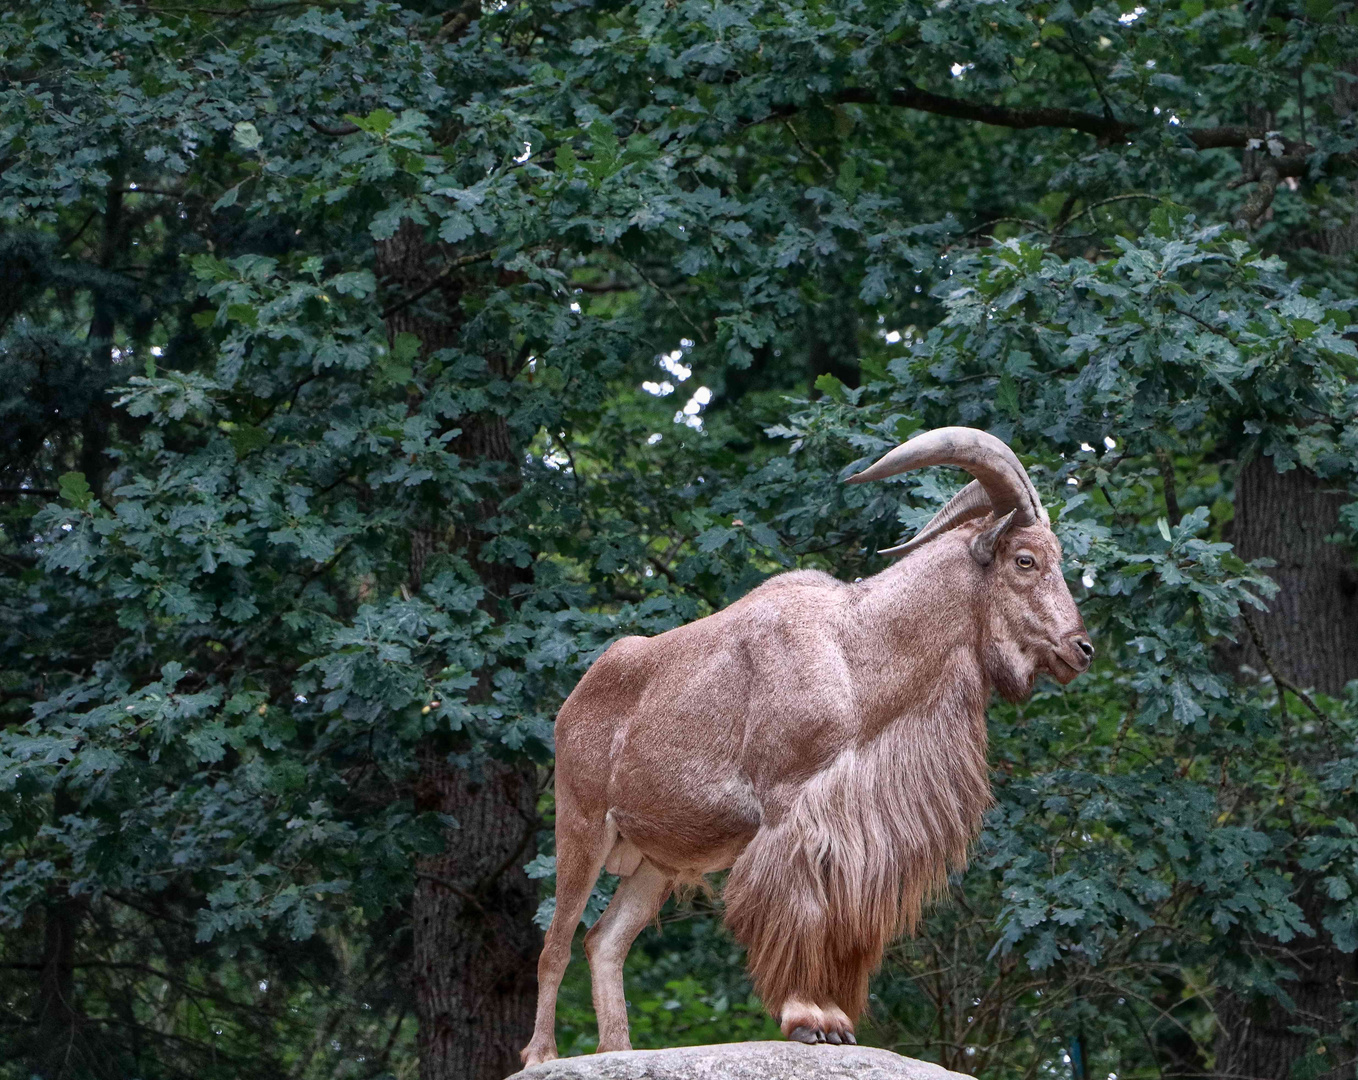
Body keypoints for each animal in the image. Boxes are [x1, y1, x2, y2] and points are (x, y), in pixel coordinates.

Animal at [518, 423, 1091, 1065]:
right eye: (1026, 560)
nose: (1080, 649)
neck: (855, 654)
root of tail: (572, 705)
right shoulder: (789, 808)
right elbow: (801, 906)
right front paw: (806, 1018)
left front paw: (837, 1019)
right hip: (582, 827)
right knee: (557, 941)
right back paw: (541, 1055)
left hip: (654, 863)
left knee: (605, 940)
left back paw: (617, 1051)